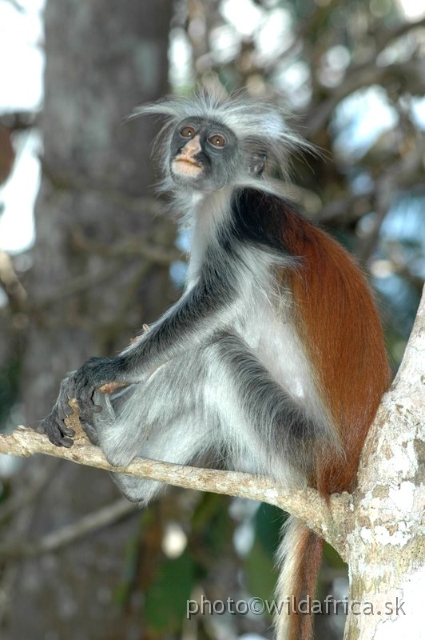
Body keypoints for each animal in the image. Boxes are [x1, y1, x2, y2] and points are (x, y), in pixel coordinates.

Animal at [41, 90, 390, 640]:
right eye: (188, 132)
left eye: (218, 141)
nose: (192, 151)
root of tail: (339, 474)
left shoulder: (236, 210)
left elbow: (215, 305)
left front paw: (106, 371)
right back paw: (134, 479)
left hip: (298, 446)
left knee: (211, 352)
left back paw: (115, 445)